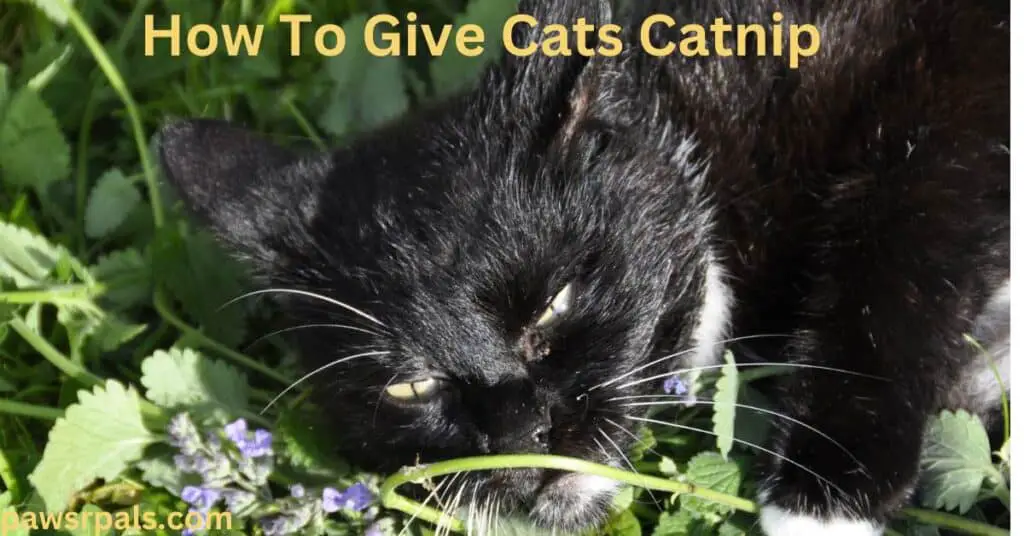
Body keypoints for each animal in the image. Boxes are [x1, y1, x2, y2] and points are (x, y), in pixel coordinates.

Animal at [155, 0, 1011, 532]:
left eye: (553, 305)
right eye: (408, 387)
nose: (522, 431)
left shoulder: (950, 85)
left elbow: (897, 237)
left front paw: (822, 499)